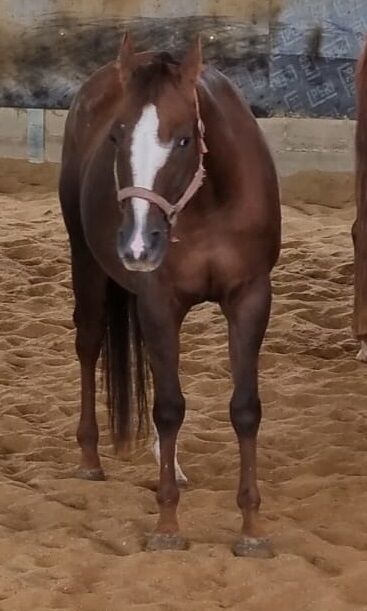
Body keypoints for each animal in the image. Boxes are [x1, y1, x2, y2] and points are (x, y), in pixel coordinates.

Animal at [59, 34, 280, 560]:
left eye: (183, 140)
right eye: (117, 137)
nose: (138, 245)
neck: (210, 200)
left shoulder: (250, 299)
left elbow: (245, 409)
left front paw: (252, 528)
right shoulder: (158, 302)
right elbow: (168, 408)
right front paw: (167, 524)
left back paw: (170, 463)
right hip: (86, 263)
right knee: (89, 346)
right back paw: (90, 456)